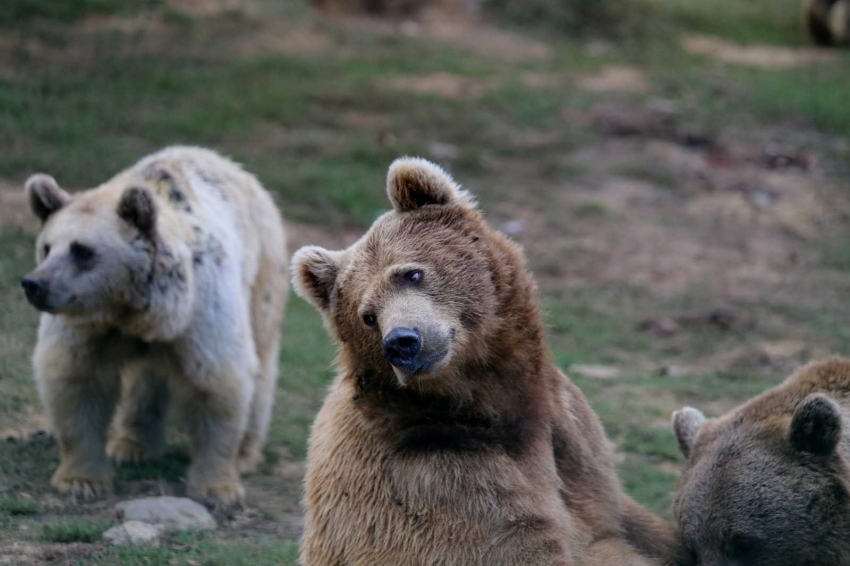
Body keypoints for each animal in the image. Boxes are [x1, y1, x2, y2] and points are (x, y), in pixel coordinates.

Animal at [21, 145, 288, 506]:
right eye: (47, 247)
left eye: (82, 250)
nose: (34, 284)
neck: (133, 308)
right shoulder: (85, 327)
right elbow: (77, 381)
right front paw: (81, 480)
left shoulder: (203, 308)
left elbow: (218, 381)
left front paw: (218, 488)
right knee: (147, 376)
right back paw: (131, 445)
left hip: (263, 272)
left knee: (261, 359)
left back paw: (246, 454)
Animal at [292, 159, 684, 566]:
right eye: (367, 316)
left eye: (411, 273)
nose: (401, 342)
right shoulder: (443, 481)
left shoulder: (574, 435)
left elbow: (619, 511)